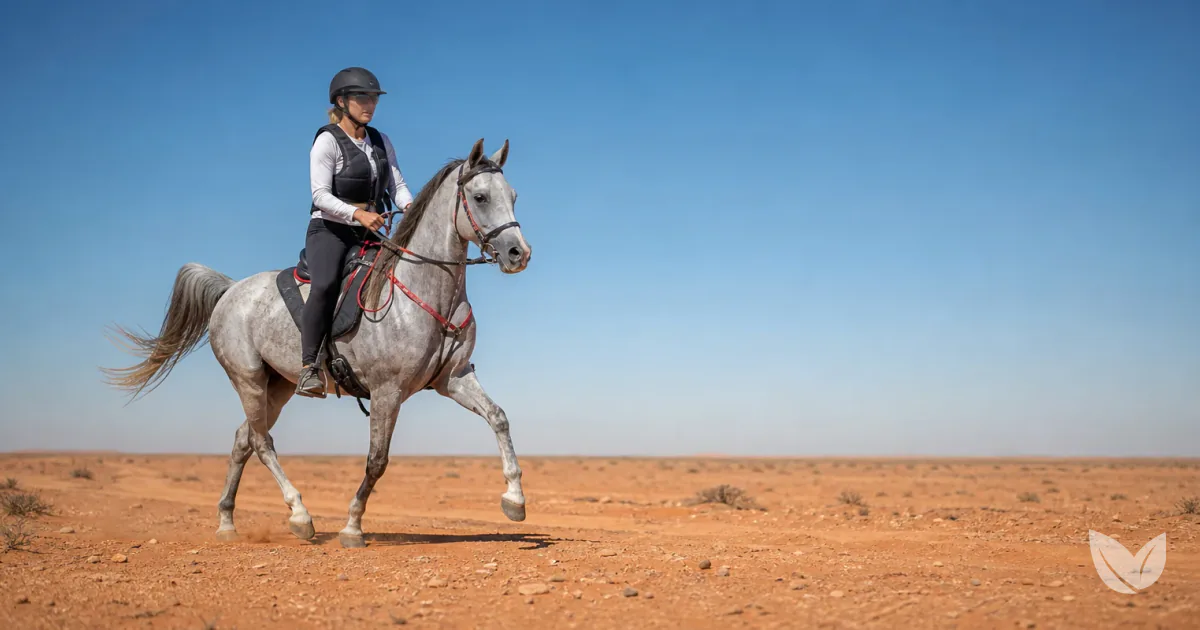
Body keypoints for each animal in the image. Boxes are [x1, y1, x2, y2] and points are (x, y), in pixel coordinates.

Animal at [101, 138, 532, 548]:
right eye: (480, 197)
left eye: (512, 195)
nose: (518, 253)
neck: (424, 290)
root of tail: (230, 290)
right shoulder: (387, 391)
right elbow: (377, 460)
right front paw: (352, 527)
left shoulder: (453, 378)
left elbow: (499, 417)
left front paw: (514, 500)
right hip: (248, 379)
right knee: (261, 442)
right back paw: (300, 516)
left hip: (279, 386)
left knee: (243, 440)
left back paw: (227, 523)